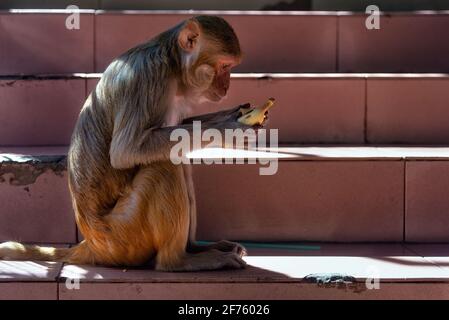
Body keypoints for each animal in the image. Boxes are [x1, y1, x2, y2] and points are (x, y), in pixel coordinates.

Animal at [0, 15, 262, 270]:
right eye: (225, 66)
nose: (227, 86)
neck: (172, 64)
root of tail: (92, 242)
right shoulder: (148, 77)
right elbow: (127, 150)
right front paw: (229, 128)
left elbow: (182, 126)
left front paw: (231, 117)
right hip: (123, 234)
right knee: (164, 165)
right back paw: (177, 261)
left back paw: (194, 248)